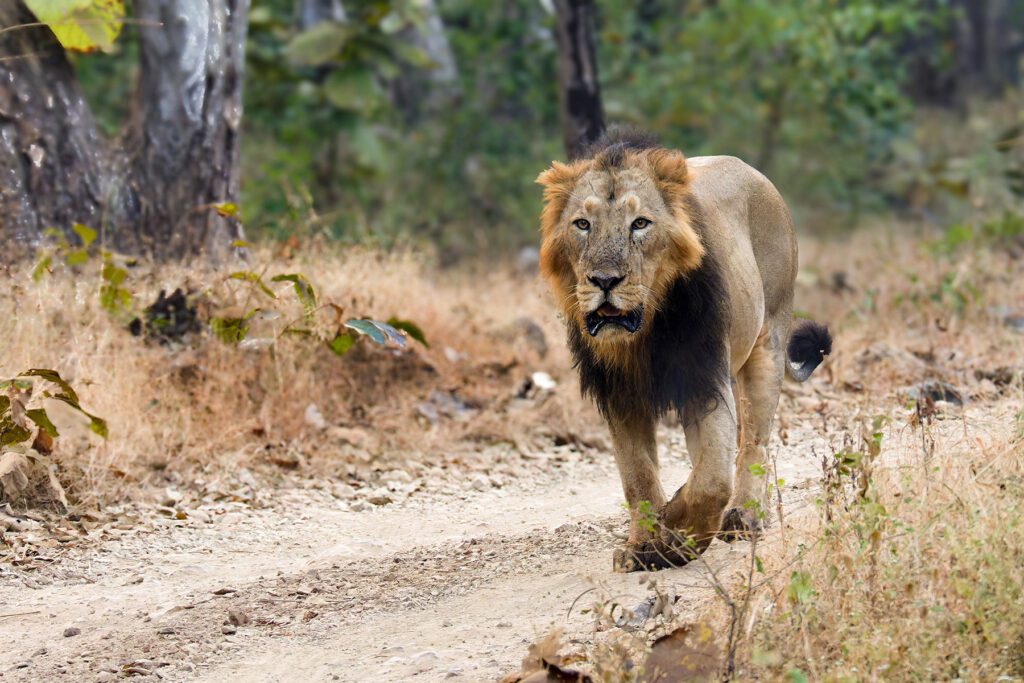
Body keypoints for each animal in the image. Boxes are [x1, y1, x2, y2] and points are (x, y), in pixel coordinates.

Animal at [537, 129, 831, 571]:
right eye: (583, 225)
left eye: (640, 223)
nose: (604, 280)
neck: (643, 336)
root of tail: (754, 172)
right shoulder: (619, 394)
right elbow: (637, 476)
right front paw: (644, 545)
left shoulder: (705, 380)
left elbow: (711, 480)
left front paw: (675, 533)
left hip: (769, 340)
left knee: (755, 442)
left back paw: (744, 517)